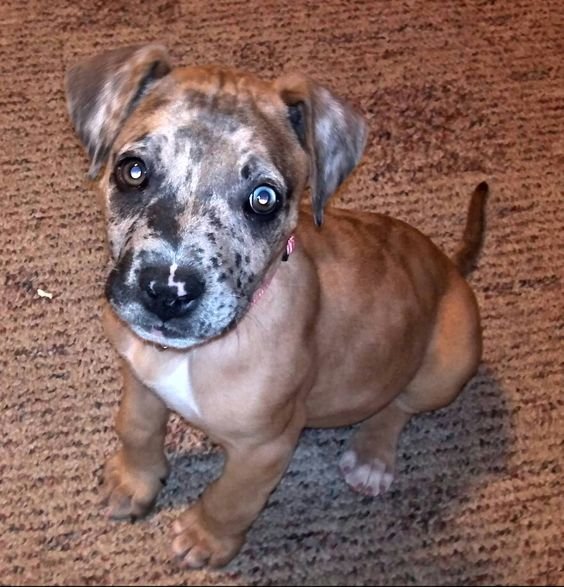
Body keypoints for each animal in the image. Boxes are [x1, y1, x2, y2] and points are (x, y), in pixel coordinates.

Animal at [66, 43, 486, 568]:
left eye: (263, 198)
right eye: (132, 170)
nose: (167, 290)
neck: (194, 355)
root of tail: (450, 265)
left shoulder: (266, 447)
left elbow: (233, 498)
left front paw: (206, 538)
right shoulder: (139, 378)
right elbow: (136, 428)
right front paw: (133, 480)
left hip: (449, 364)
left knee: (398, 406)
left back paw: (371, 456)